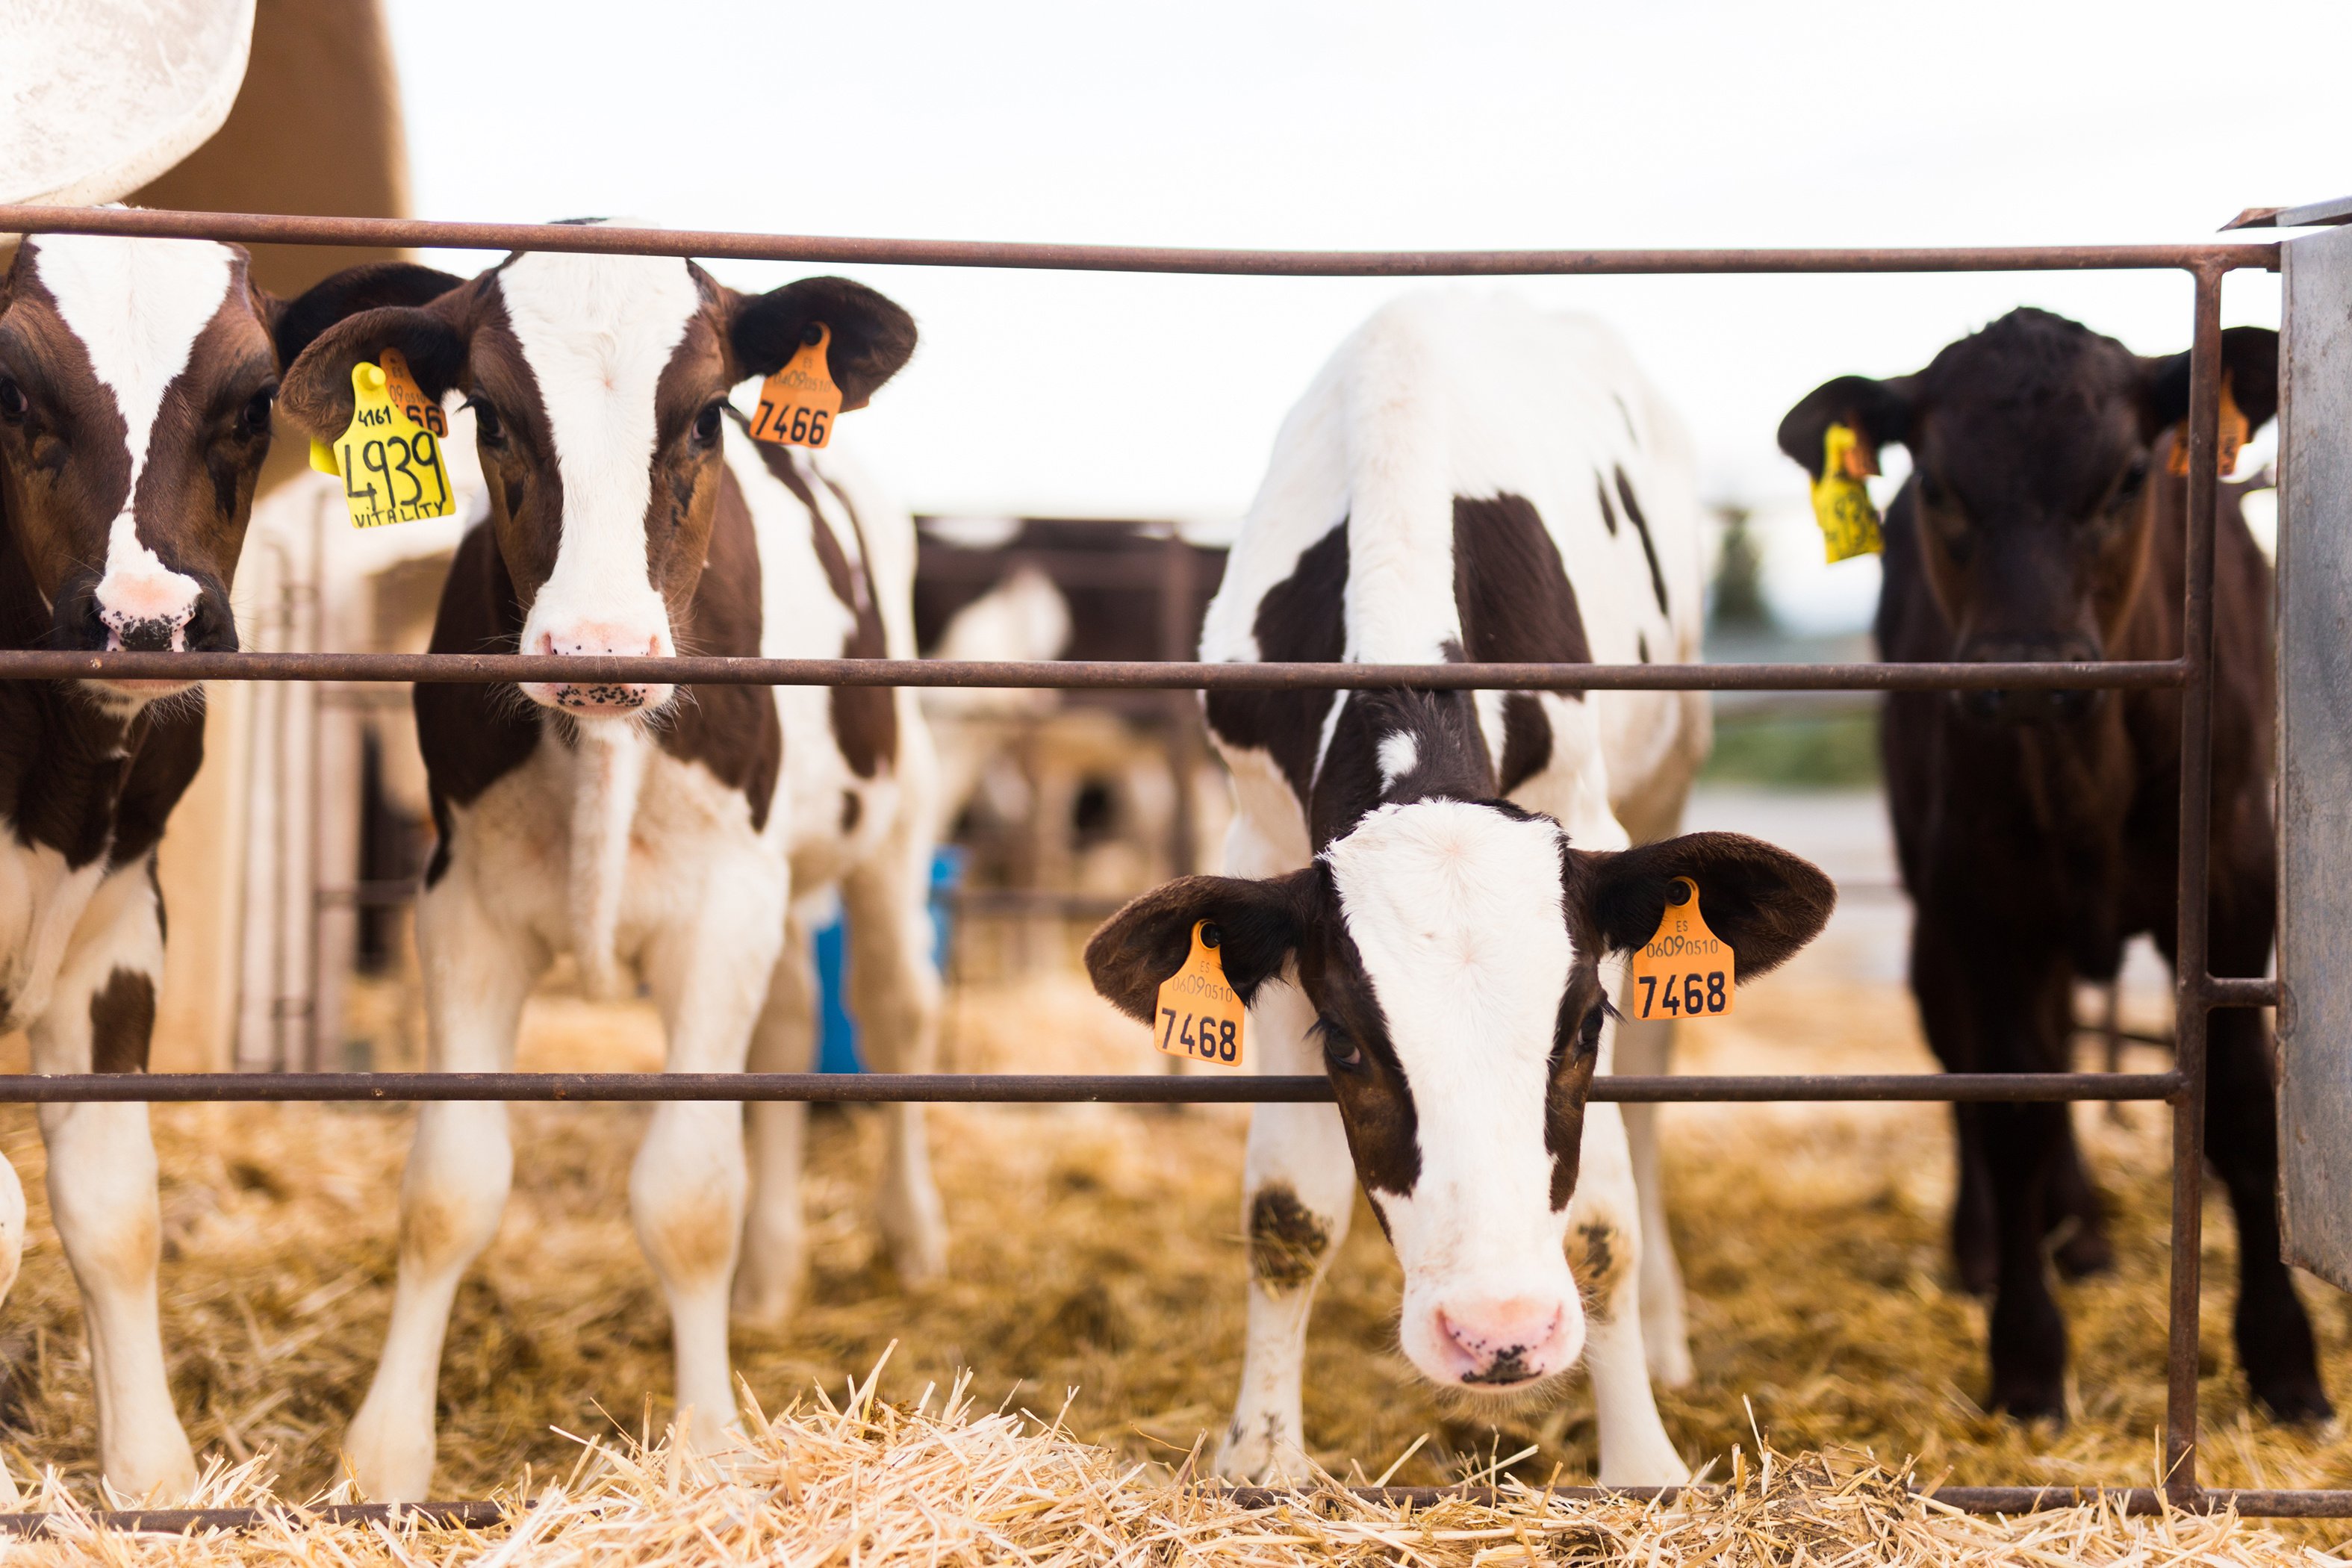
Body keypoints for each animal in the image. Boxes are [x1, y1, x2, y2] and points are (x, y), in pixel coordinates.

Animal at [0, 230, 451, 1495]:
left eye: (253, 404)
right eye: (9, 390)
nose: (146, 620)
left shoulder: (116, 923)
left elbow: (112, 1208)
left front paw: (150, 1479)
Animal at [289, 242, 950, 1495]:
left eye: (703, 417)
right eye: (491, 417)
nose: (595, 650)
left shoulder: (721, 909)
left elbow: (687, 1195)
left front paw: (706, 1443)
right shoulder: (464, 907)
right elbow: (448, 1189)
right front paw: (386, 1455)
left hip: (885, 831)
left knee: (894, 1009)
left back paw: (911, 1236)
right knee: (792, 1024)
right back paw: (773, 1278)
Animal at [1082, 293, 1835, 1485]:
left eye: (1583, 1028)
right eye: (1346, 1046)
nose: (1500, 1334)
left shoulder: (1596, 820)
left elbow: (1601, 1225)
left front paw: (1641, 1465)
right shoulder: (1260, 849)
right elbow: (1286, 1213)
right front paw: (1263, 1461)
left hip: (1670, 773)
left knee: (1654, 1102)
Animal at [1788, 303, 2324, 1419]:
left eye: (2127, 478)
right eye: (1938, 485)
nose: (2025, 672)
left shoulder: (2234, 888)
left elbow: (2241, 1109)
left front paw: (2284, 1358)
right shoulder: (1982, 905)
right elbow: (2014, 1107)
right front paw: (2027, 1359)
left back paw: (2077, 1235)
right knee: (1971, 1065)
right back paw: (1992, 1246)